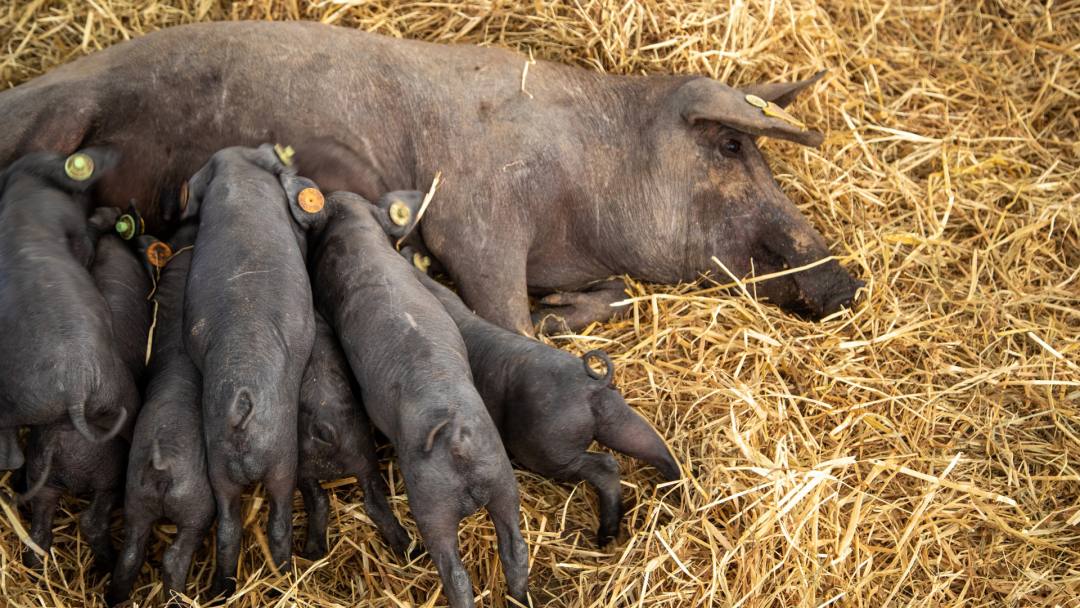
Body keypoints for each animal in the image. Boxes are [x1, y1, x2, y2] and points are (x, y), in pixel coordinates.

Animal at [0, 21, 859, 334]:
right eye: (732, 147)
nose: (847, 281)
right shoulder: (479, 213)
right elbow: (502, 314)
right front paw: (544, 325)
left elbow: (601, 299)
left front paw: (575, 307)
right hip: (62, 114)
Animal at [108, 226, 213, 608]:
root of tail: (160, 466)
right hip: (196, 506)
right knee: (175, 556)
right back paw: (178, 597)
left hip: (135, 499)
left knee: (129, 553)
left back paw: (114, 597)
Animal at [181, 143, 315, 600]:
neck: (238, 171)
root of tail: (243, 399)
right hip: (282, 457)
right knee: (278, 521)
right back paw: (286, 576)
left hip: (217, 462)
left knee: (227, 527)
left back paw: (222, 589)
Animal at [302, 188, 529, 608]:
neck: (359, 232)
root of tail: (458, 438)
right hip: (501, 478)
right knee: (515, 547)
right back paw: (519, 596)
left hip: (431, 502)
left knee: (453, 571)